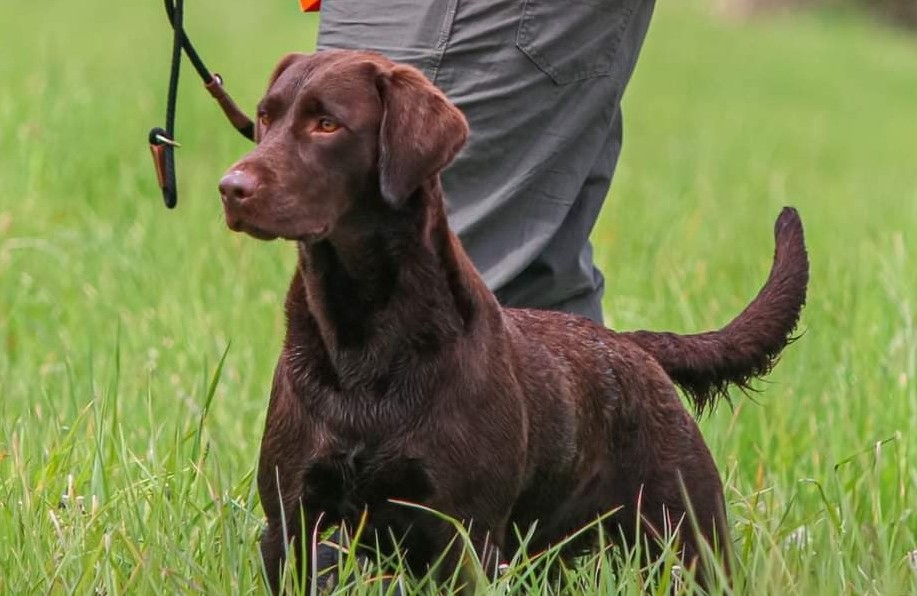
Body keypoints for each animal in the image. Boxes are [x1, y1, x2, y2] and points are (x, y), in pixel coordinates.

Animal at [218, 49, 804, 588]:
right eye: (266, 117)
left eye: (327, 124)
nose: (231, 188)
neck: (363, 336)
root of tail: (632, 346)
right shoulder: (291, 523)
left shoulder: (462, 535)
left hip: (689, 535)